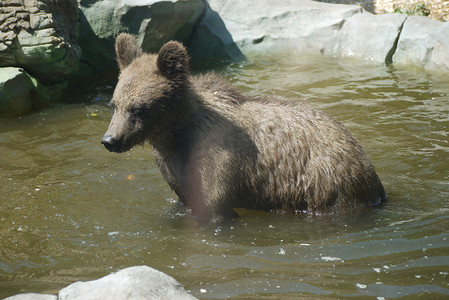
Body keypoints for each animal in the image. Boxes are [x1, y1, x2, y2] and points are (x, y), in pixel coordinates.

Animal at [101, 33, 384, 220]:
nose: (110, 140)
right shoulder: (174, 167)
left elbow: (213, 204)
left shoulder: (217, 158)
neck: (178, 133)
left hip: (326, 184)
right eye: (114, 104)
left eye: (139, 108)